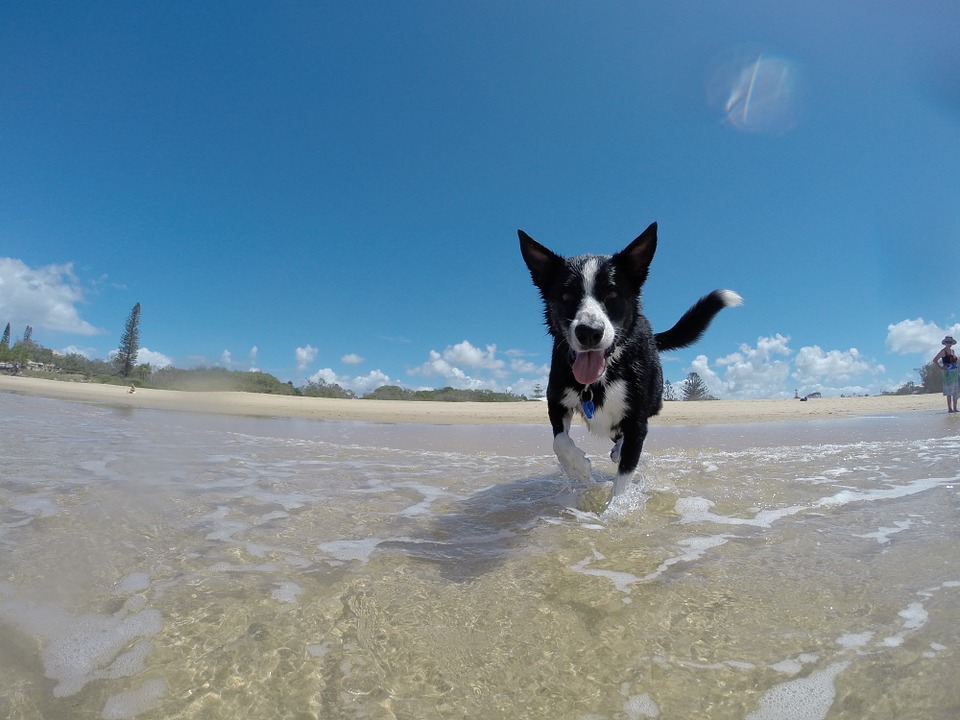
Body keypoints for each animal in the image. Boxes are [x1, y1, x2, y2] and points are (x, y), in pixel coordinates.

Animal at [520, 222, 740, 498]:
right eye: (567, 296)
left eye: (612, 294)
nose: (589, 332)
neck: (600, 378)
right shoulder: (556, 402)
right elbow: (559, 442)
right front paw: (579, 468)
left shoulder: (636, 421)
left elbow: (623, 479)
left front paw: (616, 507)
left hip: (654, 398)